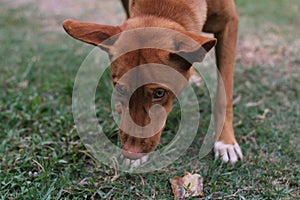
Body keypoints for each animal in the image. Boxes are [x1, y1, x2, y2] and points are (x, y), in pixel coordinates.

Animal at [62, 0, 241, 164]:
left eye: (159, 93)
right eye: (120, 89)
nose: (131, 152)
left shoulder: (229, 23)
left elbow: (224, 93)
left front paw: (225, 141)